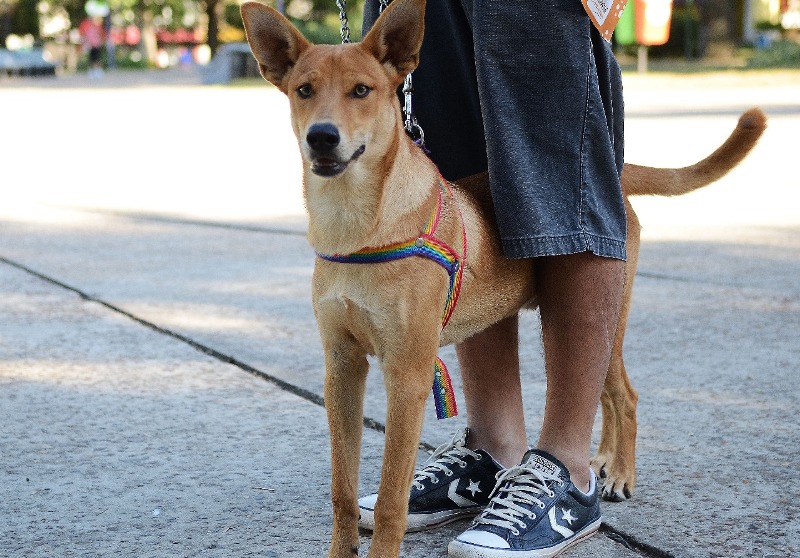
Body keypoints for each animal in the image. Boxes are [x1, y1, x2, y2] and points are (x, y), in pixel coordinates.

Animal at [241, 2, 764, 556]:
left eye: (361, 90)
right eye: (304, 89)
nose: (321, 136)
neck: (358, 227)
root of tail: (618, 176)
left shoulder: (406, 374)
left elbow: (389, 500)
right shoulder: (341, 369)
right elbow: (342, 491)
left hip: (608, 315)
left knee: (625, 395)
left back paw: (620, 472)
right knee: (607, 393)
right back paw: (601, 460)